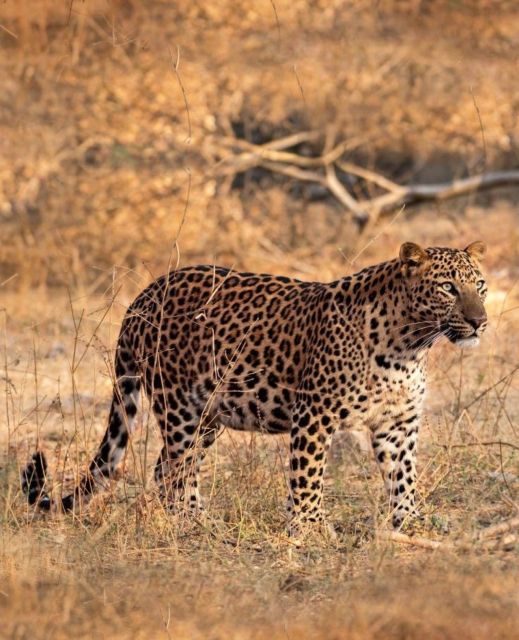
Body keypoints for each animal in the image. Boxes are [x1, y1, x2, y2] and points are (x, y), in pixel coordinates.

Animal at [22, 241, 488, 536]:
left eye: (479, 286)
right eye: (448, 288)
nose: (480, 321)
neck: (410, 344)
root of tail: (143, 296)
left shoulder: (398, 423)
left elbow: (404, 476)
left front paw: (412, 521)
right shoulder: (314, 414)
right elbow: (307, 475)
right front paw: (310, 529)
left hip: (208, 414)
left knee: (170, 469)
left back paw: (196, 520)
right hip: (180, 407)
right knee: (174, 469)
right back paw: (193, 524)